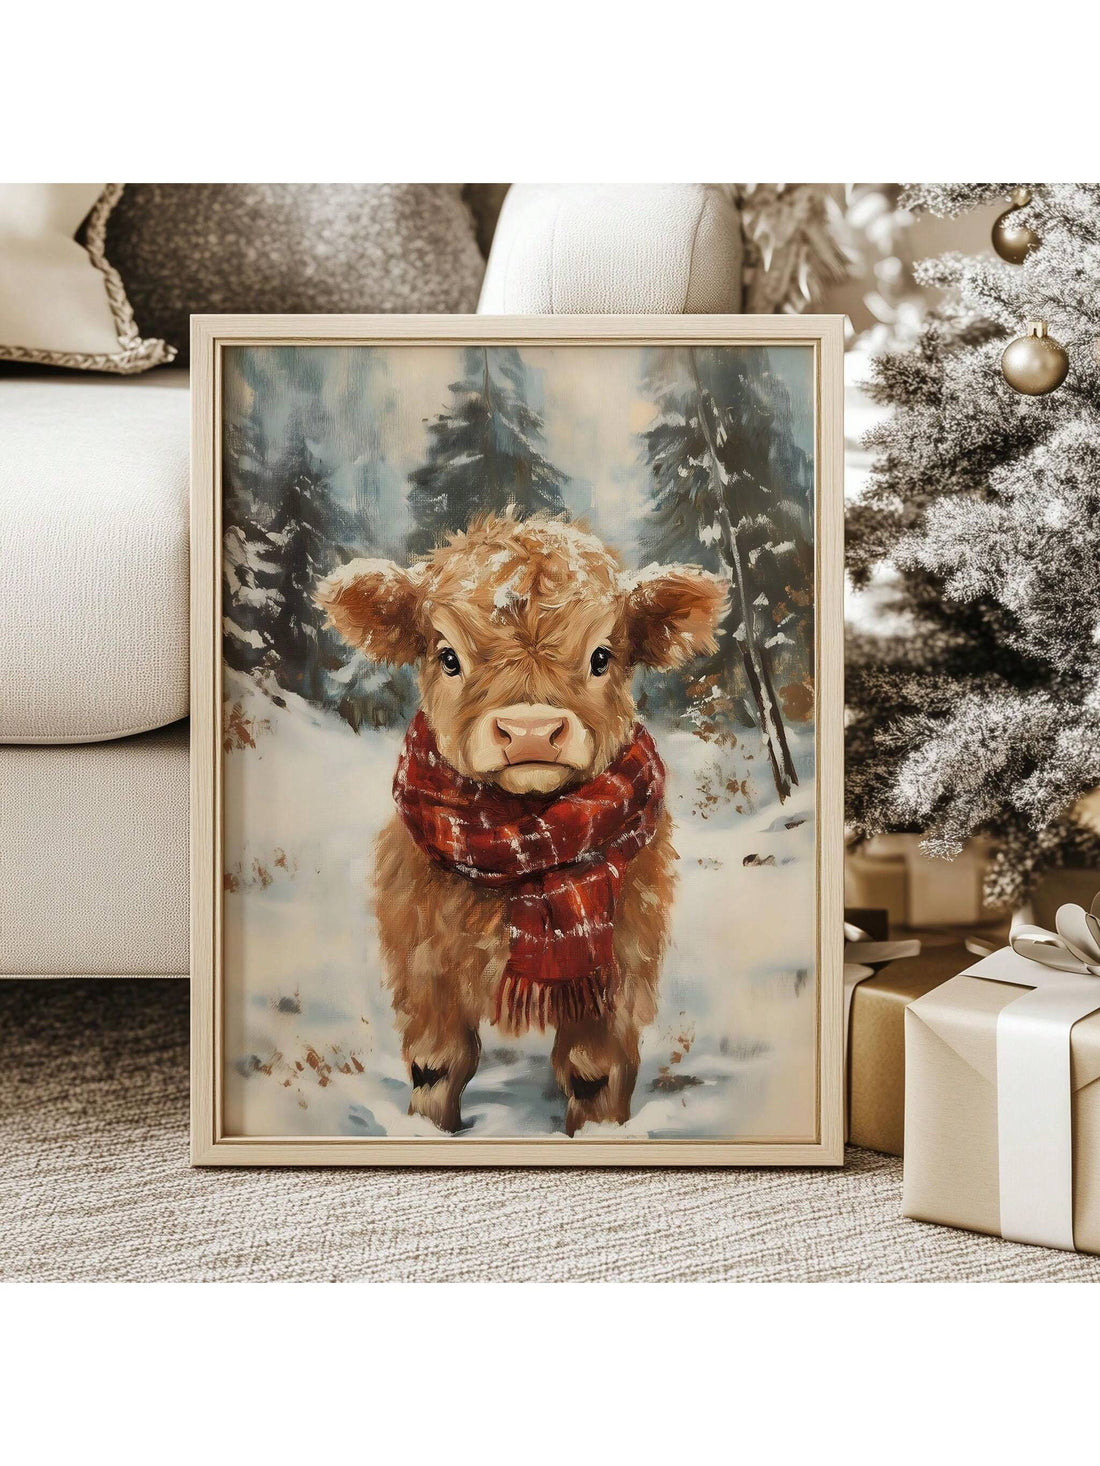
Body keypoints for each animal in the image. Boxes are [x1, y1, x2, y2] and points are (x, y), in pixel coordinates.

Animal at [317, 513, 726, 1135]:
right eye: (449, 657)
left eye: (601, 656)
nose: (530, 731)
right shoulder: (423, 958)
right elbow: (437, 1064)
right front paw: (430, 1129)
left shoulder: (618, 969)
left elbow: (593, 1071)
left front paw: (598, 1134)